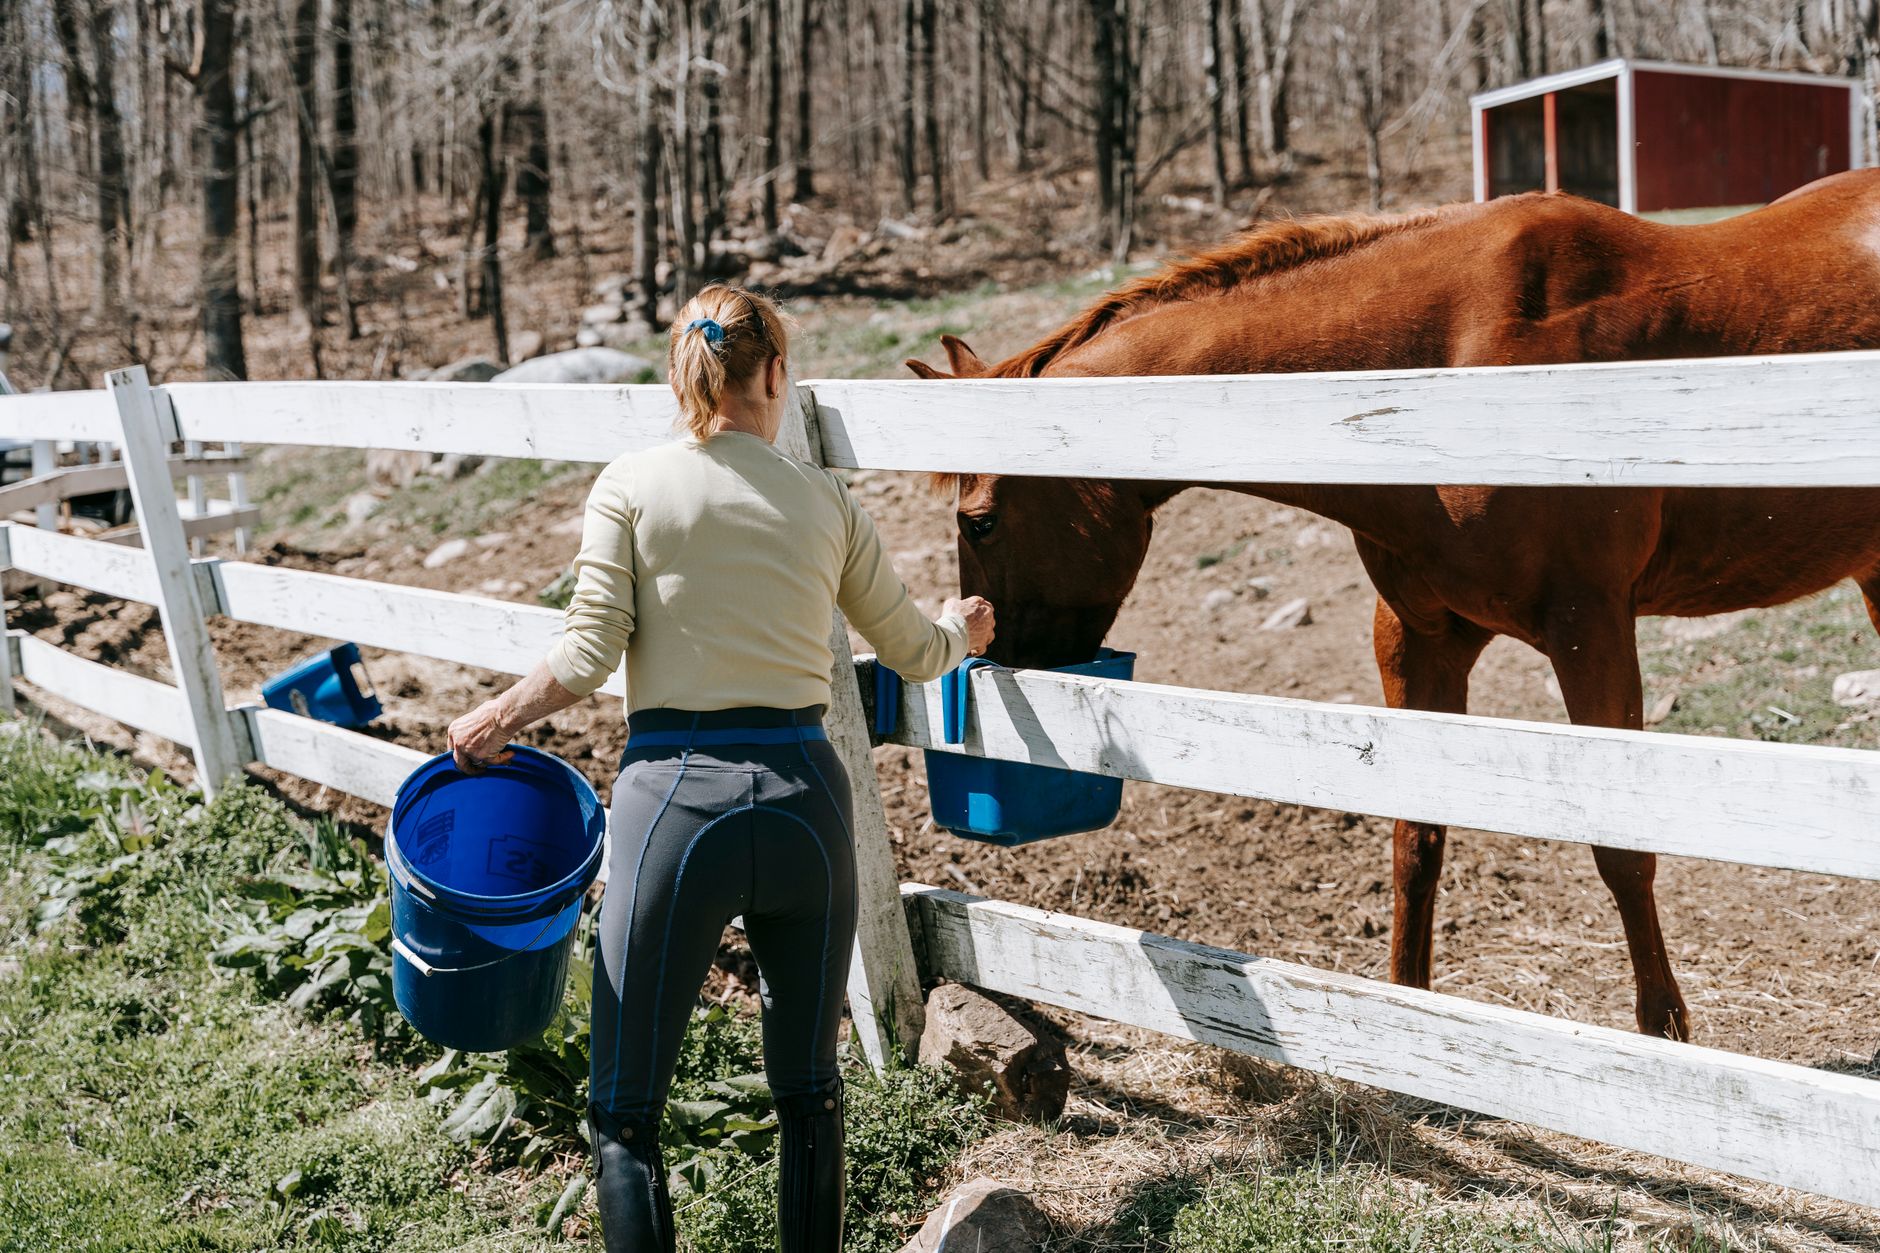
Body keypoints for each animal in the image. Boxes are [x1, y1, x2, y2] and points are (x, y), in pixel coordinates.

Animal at [904, 168, 1880, 1041]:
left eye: (979, 518)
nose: (999, 659)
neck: (1442, 369)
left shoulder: (1592, 630)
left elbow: (1620, 845)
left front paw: (1662, 1033)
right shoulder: (1421, 637)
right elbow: (1418, 834)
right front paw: (1406, 1014)